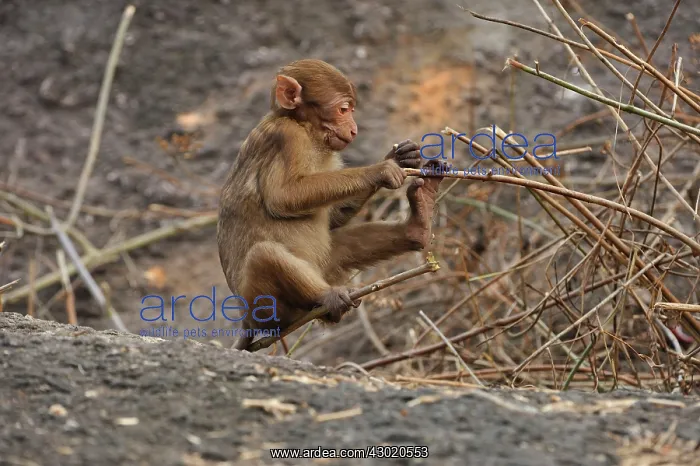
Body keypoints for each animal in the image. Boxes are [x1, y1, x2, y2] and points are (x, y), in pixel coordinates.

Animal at [216, 59, 445, 351]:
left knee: (341, 242)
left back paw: (418, 223)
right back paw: (327, 298)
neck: (303, 127)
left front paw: (400, 156)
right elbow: (283, 197)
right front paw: (382, 169)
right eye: (343, 109)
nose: (354, 129)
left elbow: (334, 217)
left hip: (324, 267)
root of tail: (246, 321)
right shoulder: (286, 137)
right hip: (264, 306)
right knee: (263, 254)